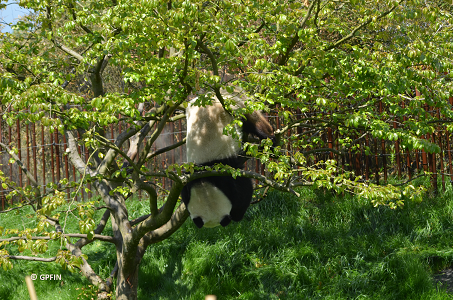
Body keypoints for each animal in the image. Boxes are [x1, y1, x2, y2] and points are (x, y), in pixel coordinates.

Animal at [179, 88, 272, 229]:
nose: (227, 222)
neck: (205, 184)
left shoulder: (225, 173)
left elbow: (244, 189)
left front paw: (238, 214)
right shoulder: (193, 175)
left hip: (234, 104)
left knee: (254, 121)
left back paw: (271, 138)